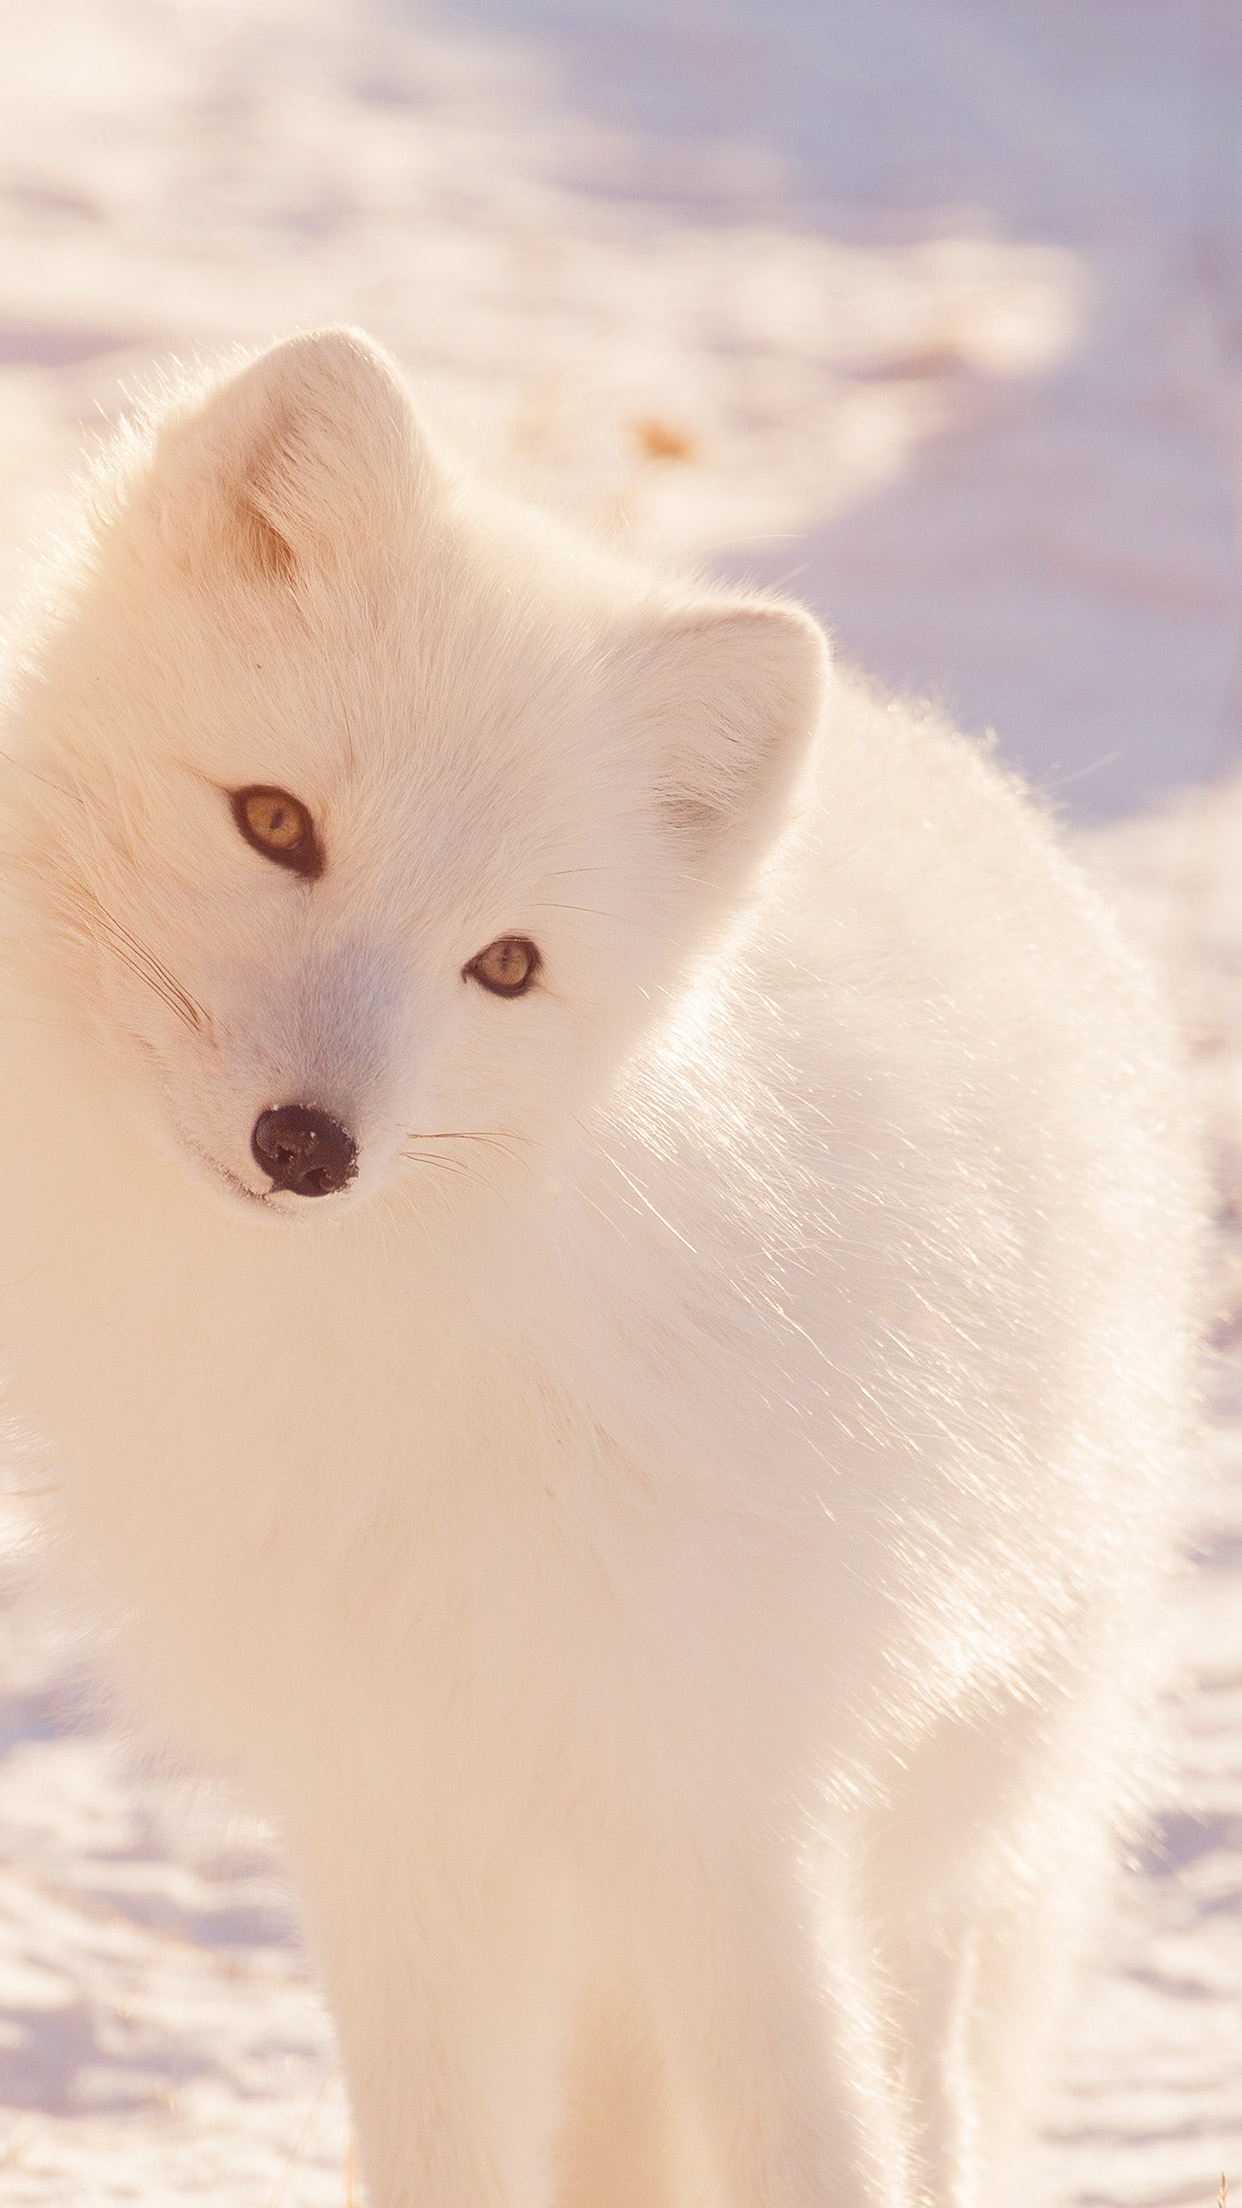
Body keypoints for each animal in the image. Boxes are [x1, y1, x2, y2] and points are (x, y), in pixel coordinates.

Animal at [0, 328, 1200, 2208]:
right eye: (273, 822)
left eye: (504, 965)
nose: (308, 1146)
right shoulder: (390, 1816)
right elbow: (437, 2156)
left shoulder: (721, 1807)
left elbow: (815, 2142)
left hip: (934, 1808)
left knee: (922, 2090)